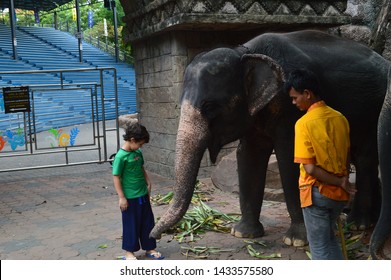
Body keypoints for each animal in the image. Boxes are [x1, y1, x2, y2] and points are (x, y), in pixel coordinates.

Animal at [149, 29, 390, 255]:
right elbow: (248, 155)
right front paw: (243, 233)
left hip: (370, 112)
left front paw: (297, 241)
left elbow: (290, 157)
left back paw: (357, 224)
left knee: (365, 156)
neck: (245, 51)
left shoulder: (290, 106)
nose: (155, 237)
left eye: (210, 107)